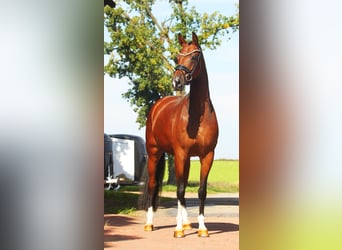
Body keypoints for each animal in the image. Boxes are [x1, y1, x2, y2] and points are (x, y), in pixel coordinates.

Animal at [142, 32, 218, 237]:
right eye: (177, 57)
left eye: (194, 56)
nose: (176, 82)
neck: (198, 118)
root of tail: (157, 106)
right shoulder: (180, 154)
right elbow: (180, 190)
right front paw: (177, 230)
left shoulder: (207, 155)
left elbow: (201, 191)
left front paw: (202, 229)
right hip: (155, 153)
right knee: (153, 185)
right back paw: (149, 224)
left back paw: (187, 224)